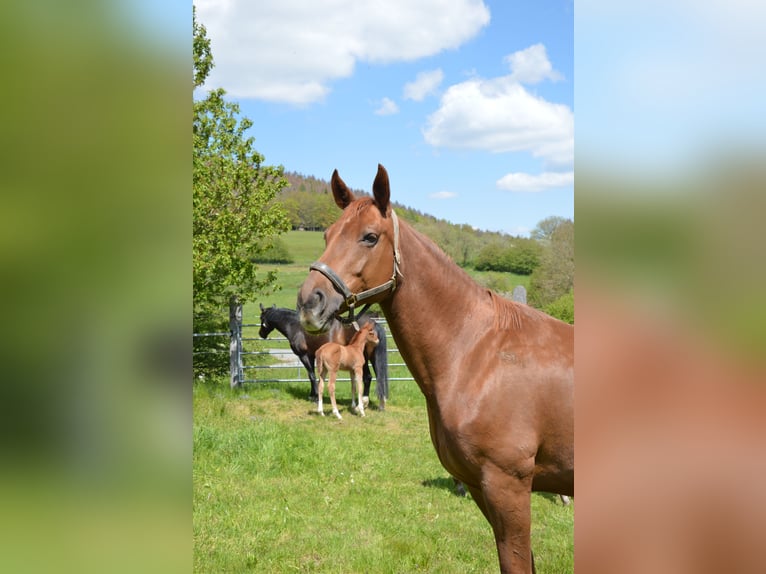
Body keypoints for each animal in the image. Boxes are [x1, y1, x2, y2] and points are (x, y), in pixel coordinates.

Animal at [260, 306, 390, 410]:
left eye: (262, 319)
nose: (261, 334)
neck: (296, 326)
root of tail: (374, 325)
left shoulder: (304, 356)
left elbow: (312, 375)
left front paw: (315, 397)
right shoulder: (312, 356)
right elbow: (313, 376)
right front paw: (313, 394)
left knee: (367, 377)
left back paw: (363, 402)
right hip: (373, 357)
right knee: (378, 376)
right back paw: (381, 404)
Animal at [300, 164, 576, 572]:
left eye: (370, 237)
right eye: (326, 235)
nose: (309, 302)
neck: (477, 353)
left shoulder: (508, 487)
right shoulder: (480, 487)